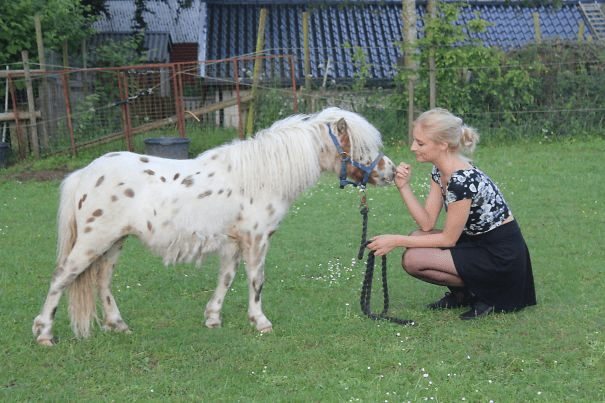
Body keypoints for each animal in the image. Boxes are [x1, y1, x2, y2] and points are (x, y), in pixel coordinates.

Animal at [31, 107, 396, 348]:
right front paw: (261, 322)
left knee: (102, 280)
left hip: (114, 242)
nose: (392, 172)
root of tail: (85, 173)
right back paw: (45, 333)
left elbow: (227, 279)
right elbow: (256, 280)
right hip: (95, 240)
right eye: (362, 148)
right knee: (62, 277)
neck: (262, 176)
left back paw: (118, 325)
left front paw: (213, 319)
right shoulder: (257, 239)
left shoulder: (233, 242)